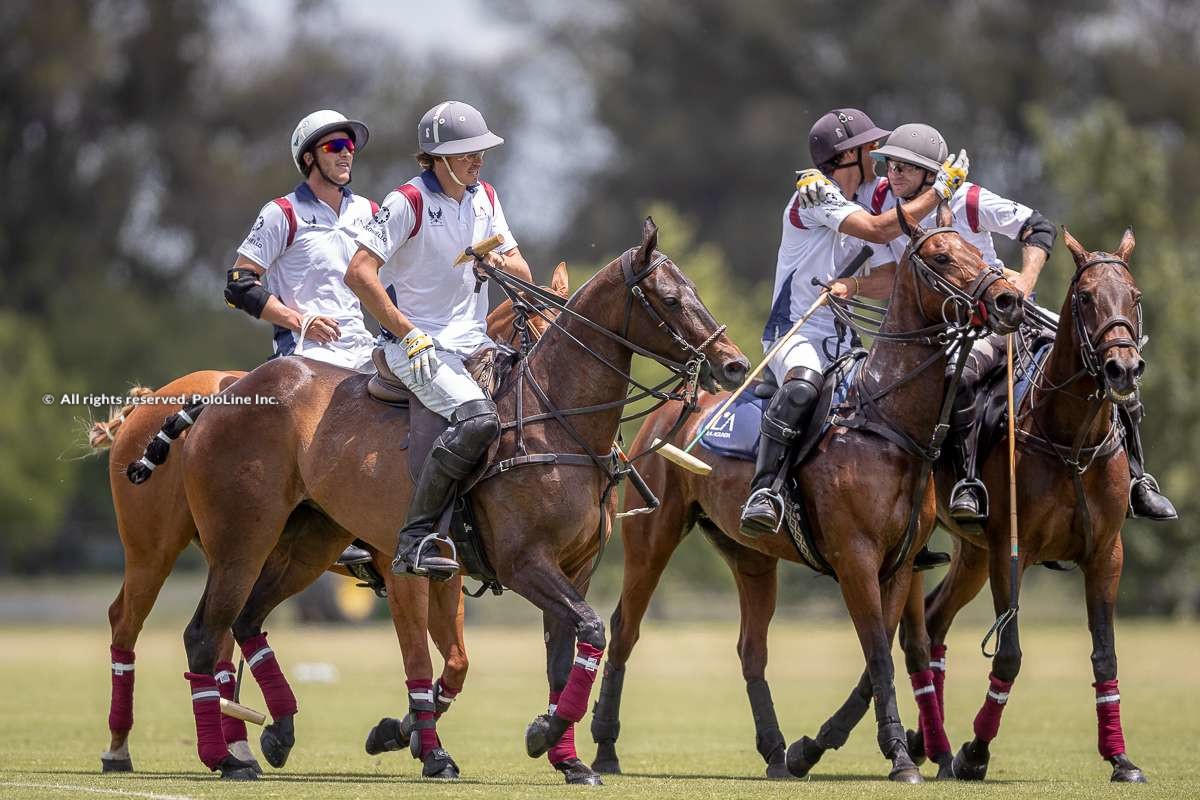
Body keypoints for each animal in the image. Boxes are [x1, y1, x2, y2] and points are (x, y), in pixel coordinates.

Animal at [88, 262, 571, 777]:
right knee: (128, 620)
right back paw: (122, 748)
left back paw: (243, 744)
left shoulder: (448, 571)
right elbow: (420, 660)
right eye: (533, 332)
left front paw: (405, 734)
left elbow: (457, 662)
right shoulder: (401, 569)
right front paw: (425, 747)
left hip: (246, 549)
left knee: (220, 634)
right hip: (155, 548)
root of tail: (146, 404)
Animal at [169, 219, 748, 782]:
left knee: (244, 622)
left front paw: (566, 758)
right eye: (670, 299)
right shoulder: (514, 563)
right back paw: (227, 756)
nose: (735, 365)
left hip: (307, 543)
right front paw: (525, 736)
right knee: (205, 634)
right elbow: (567, 633)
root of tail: (223, 396)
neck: (556, 422)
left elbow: (558, 654)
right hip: (241, 541)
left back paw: (277, 732)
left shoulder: (572, 568)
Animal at [590, 203, 1022, 786]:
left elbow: (876, 659)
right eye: (940, 256)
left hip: (749, 556)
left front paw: (811, 749)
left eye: (977, 250)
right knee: (625, 628)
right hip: (651, 538)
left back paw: (776, 752)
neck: (886, 423)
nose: (1008, 300)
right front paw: (900, 757)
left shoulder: (899, 565)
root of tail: (673, 409)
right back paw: (605, 747)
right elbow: (878, 655)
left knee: (751, 648)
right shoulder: (855, 558)